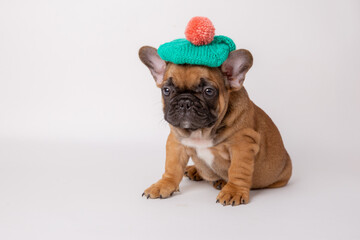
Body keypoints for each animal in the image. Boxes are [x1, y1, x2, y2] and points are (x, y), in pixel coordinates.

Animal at [139, 46, 292, 205]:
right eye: (166, 90)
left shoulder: (243, 145)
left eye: (209, 91)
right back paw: (195, 170)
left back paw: (223, 182)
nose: (185, 102)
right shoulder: (176, 142)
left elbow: (238, 170)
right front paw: (163, 185)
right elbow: (172, 167)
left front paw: (234, 191)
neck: (201, 132)